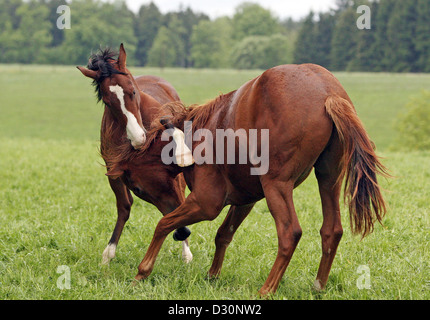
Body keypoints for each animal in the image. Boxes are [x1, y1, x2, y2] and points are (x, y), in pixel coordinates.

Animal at [76, 45, 192, 264]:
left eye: (133, 91)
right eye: (107, 101)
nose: (139, 138)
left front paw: (186, 251)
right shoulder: (114, 170)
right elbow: (124, 205)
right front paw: (109, 253)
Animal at [133, 62, 388, 296]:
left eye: (137, 187)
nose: (182, 234)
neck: (191, 135)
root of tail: (329, 93)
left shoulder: (206, 204)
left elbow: (163, 224)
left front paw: (142, 271)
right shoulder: (245, 200)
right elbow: (223, 234)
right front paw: (212, 276)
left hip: (277, 185)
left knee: (289, 233)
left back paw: (267, 289)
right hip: (328, 179)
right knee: (331, 230)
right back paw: (317, 287)